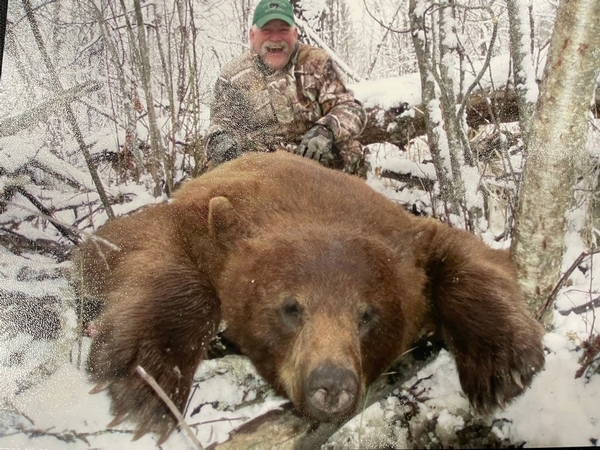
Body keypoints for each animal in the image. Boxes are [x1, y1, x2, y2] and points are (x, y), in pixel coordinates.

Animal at [72, 150, 548, 442]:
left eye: (367, 314)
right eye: (291, 307)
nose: (331, 383)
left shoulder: (405, 231)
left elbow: (467, 252)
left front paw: (503, 364)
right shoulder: (198, 216)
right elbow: (131, 242)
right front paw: (146, 385)